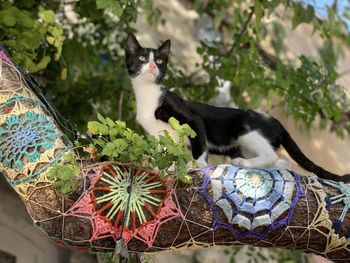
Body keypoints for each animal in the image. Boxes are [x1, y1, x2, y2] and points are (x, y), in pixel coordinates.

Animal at [124, 33, 348, 184]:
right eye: (142, 58)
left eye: (159, 60)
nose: (152, 66)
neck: (148, 95)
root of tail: (276, 122)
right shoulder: (159, 136)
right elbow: (167, 153)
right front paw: (164, 167)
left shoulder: (192, 119)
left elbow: (199, 144)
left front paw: (198, 165)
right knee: (283, 163)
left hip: (246, 130)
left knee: (271, 155)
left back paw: (243, 164)